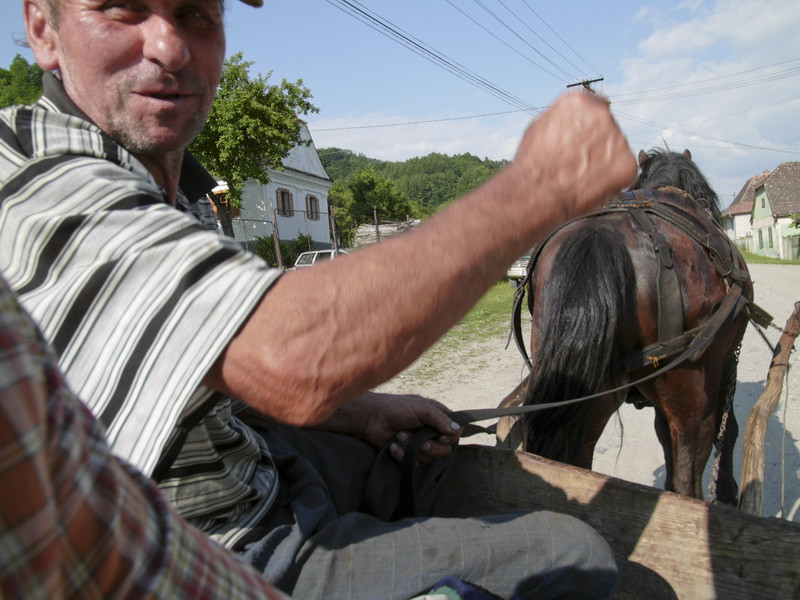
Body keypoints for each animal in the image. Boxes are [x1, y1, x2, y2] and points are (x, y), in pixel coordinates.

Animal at [504, 148, 752, 504]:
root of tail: (599, 236)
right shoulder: (728, 358)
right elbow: (727, 428)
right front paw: (728, 491)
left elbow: (662, 434)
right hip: (692, 392)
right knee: (689, 474)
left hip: (590, 390)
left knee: (576, 461)